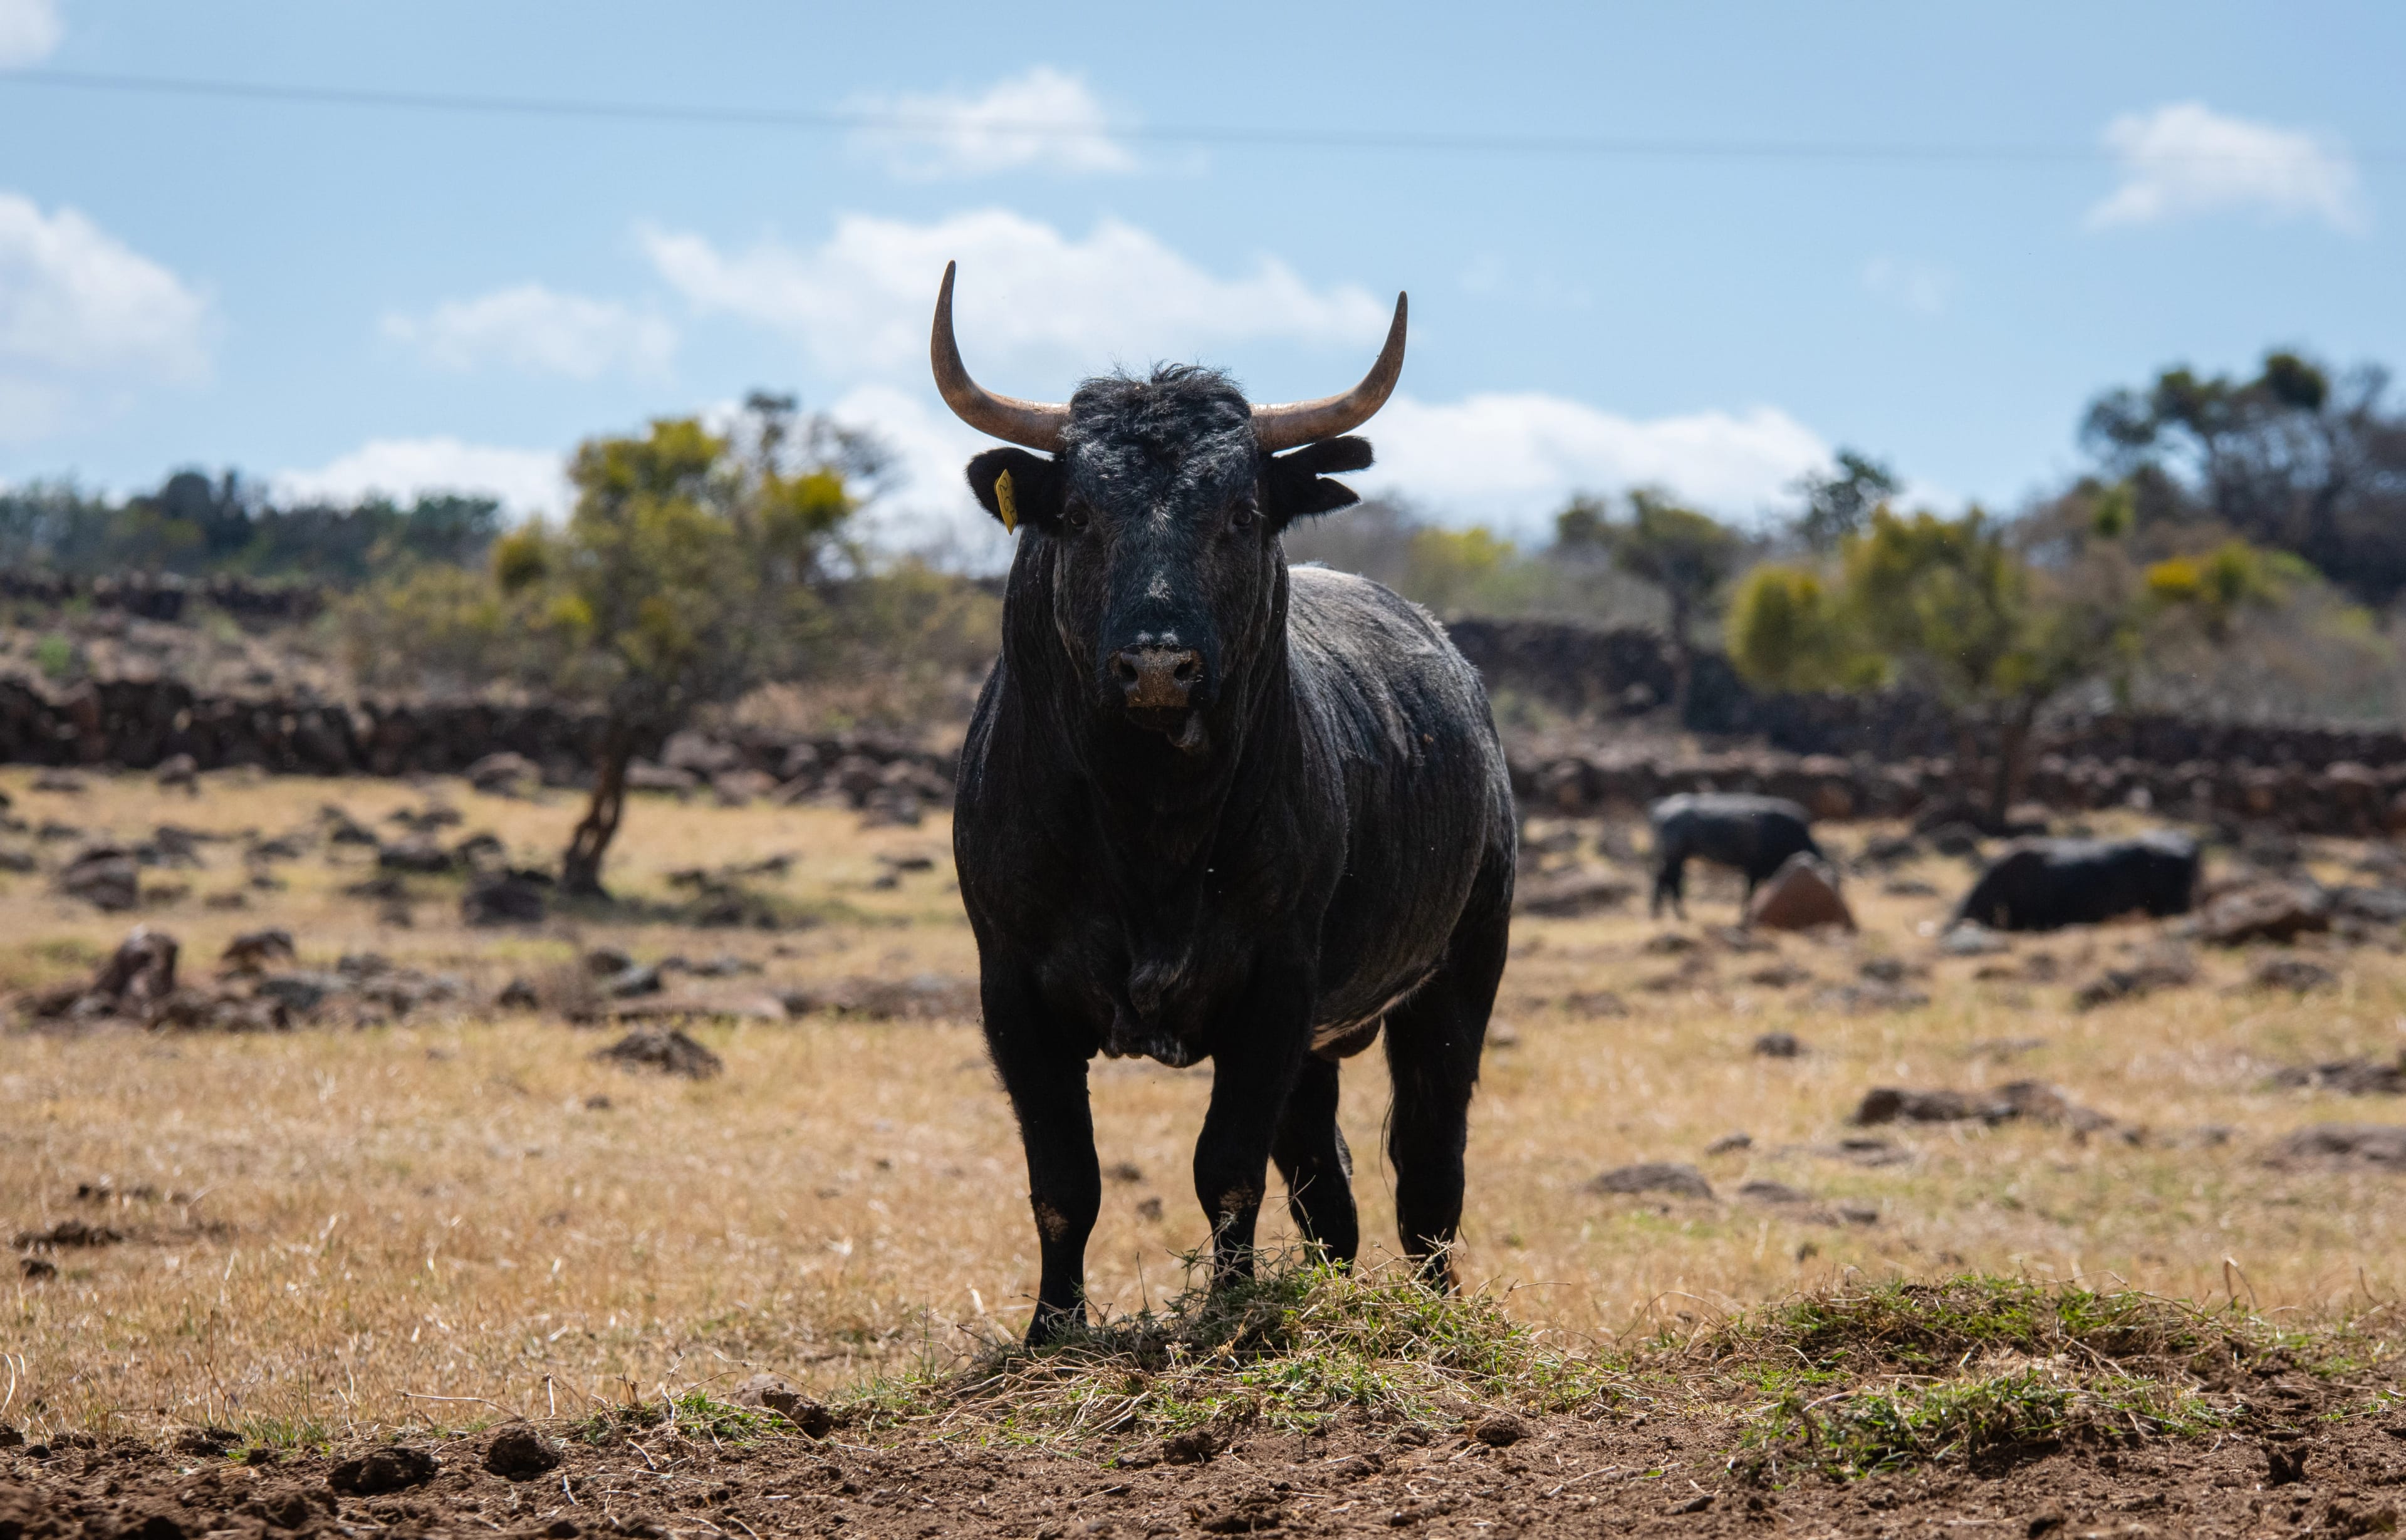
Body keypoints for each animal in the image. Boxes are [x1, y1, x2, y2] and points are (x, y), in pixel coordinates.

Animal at [931, 263, 1517, 1344]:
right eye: (1081, 513)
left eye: (1241, 512)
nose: (1159, 662)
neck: (1148, 826)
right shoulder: (1013, 987)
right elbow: (1064, 1180)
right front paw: (1052, 1329)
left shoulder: (1273, 985)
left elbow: (1226, 1170)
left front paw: (1229, 1313)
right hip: (1326, 1042)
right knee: (1330, 1189)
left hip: (1458, 976)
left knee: (1427, 1169)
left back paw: (1433, 1311)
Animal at [1648, 792, 1821, 918]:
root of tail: (1659, 808)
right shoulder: (1754, 869)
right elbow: (1750, 892)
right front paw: (1745, 914)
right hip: (1674, 857)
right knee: (1670, 881)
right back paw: (1678, 914)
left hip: (1673, 858)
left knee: (1664, 880)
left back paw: (1661, 913)